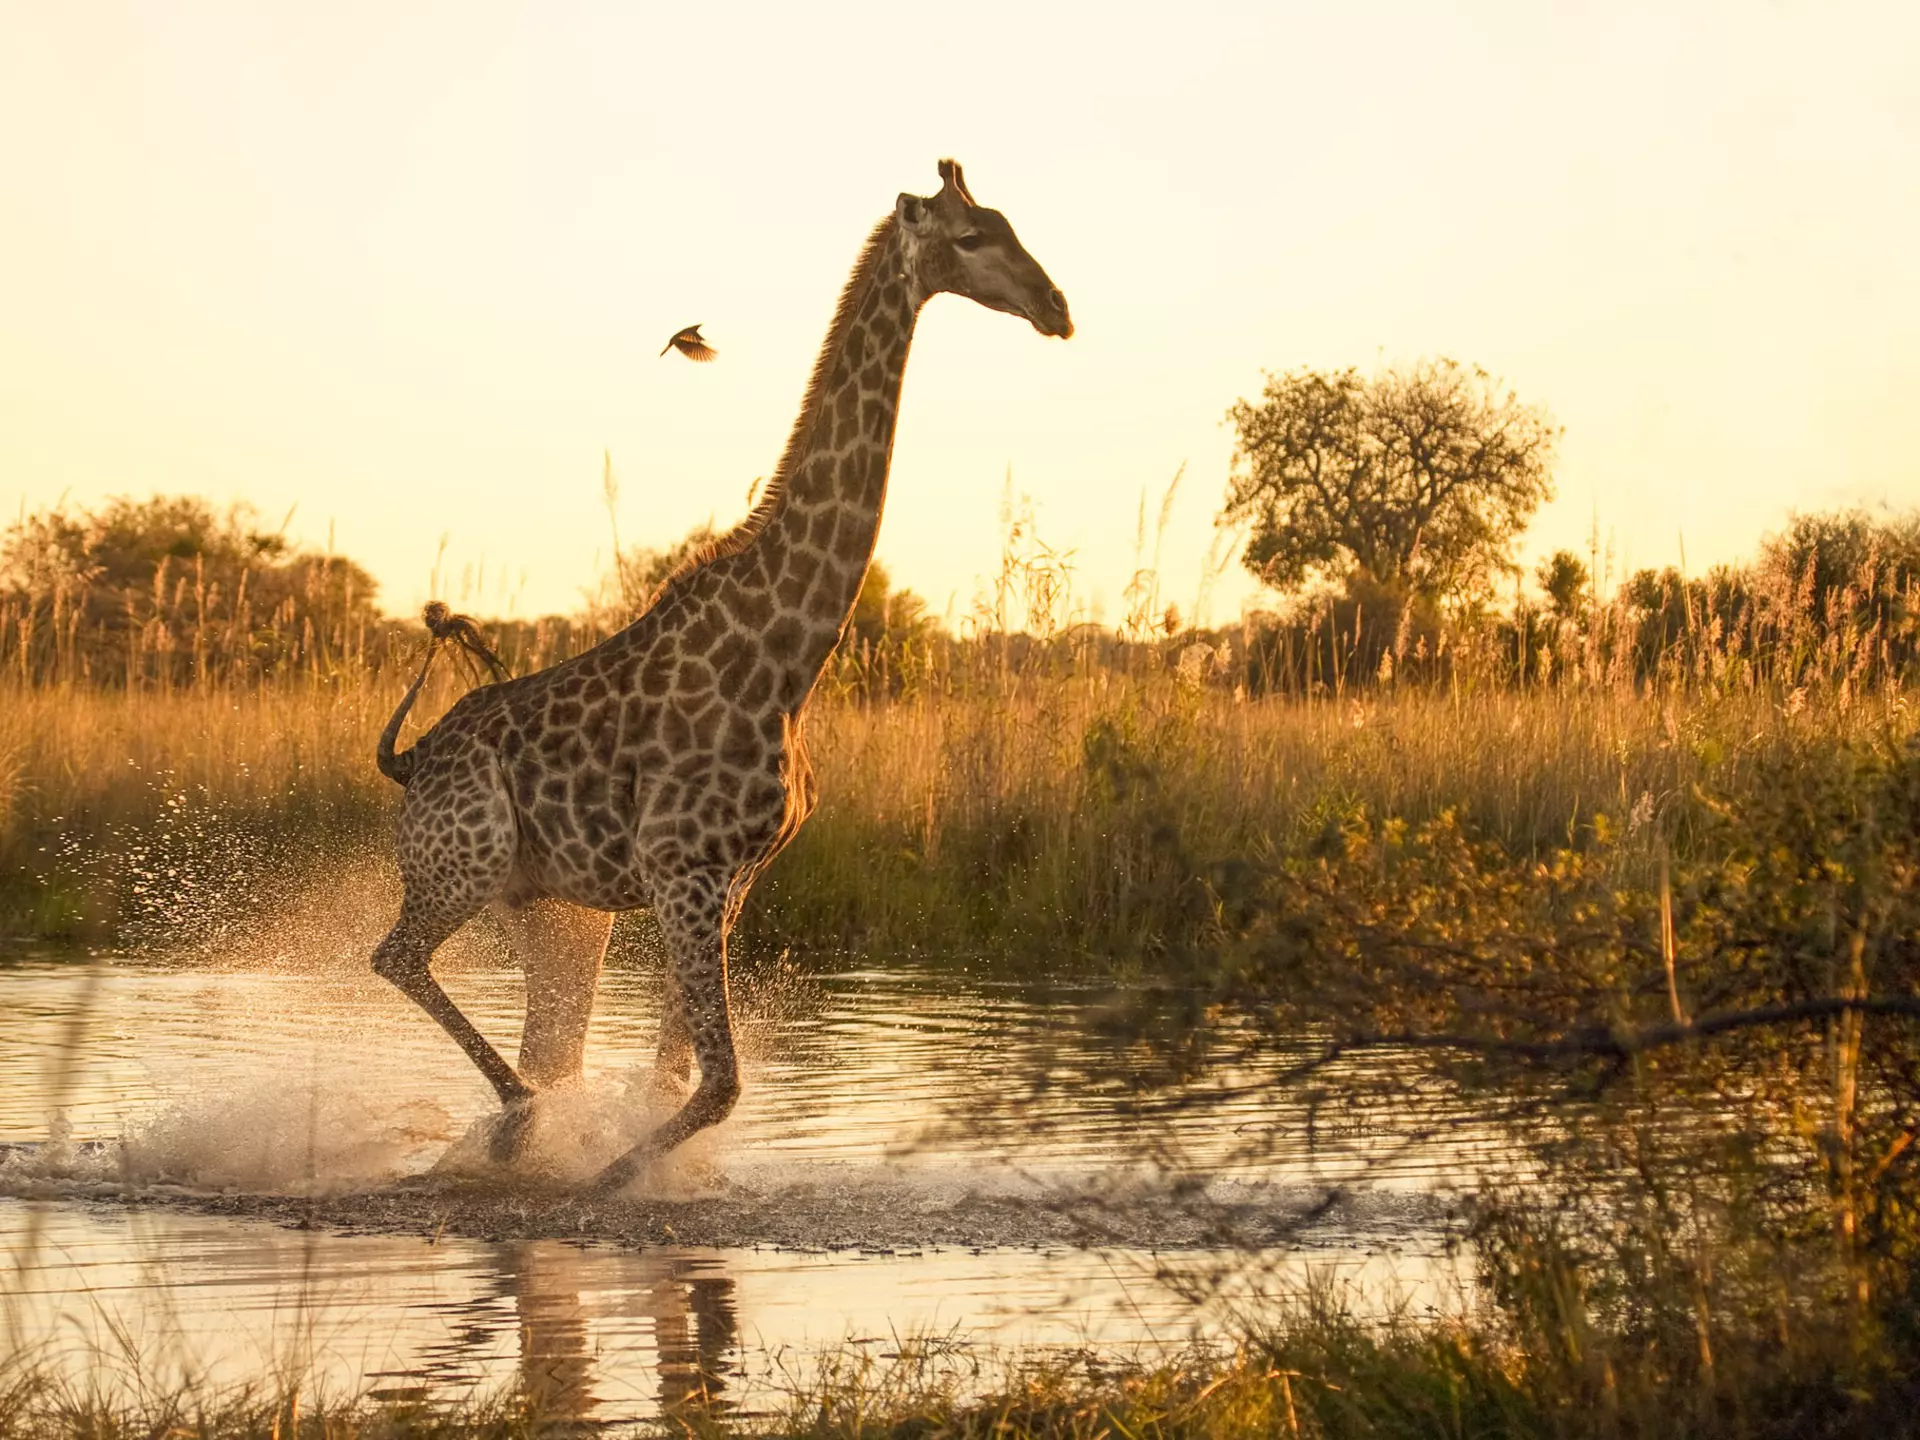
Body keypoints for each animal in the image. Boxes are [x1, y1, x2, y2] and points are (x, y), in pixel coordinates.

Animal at [373, 159, 1072, 1192]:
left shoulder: (726, 884)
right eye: (973, 237)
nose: (1057, 308)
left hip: (551, 908)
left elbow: (678, 1078)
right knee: (398, 960)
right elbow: (717, 1085)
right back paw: (518, 1122)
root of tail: (410, 760)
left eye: (1010, 223)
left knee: (547, 1037)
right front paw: (608, 1180)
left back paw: (518, 1128)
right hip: (464, 865)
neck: (785, 665)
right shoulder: (682, 875)